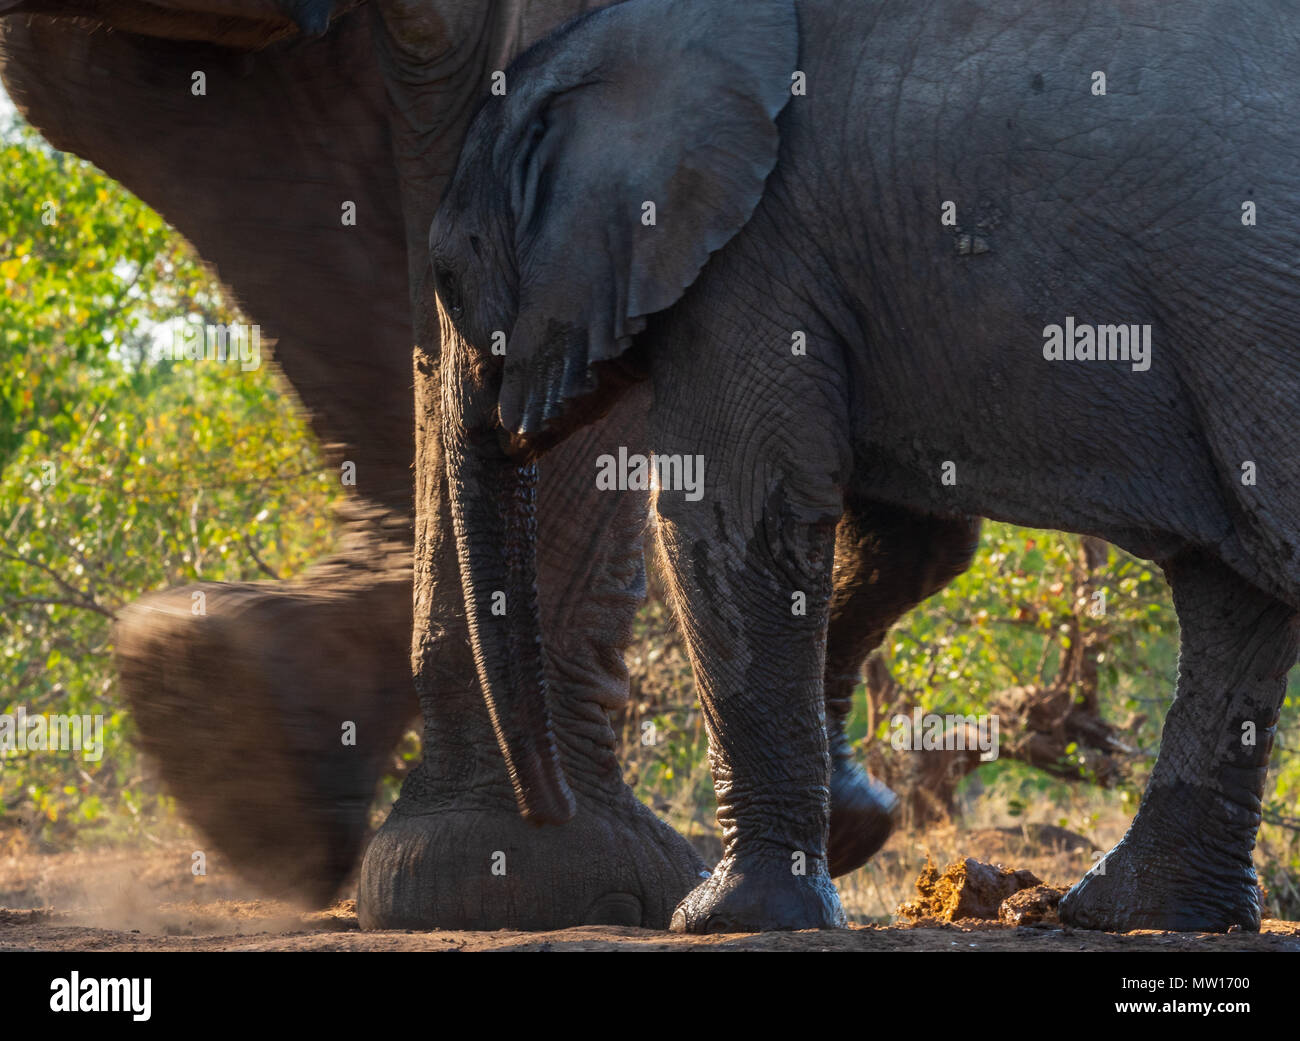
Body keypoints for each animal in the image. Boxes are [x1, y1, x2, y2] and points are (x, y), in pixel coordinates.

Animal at [428, 0, 1300, 935]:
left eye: (449, 275)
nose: (547, 810)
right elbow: (909, 544)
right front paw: (855, 825)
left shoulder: (753, 262)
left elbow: (731, 510)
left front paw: (724, 916)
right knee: (1230, 597)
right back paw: (1134, 913)